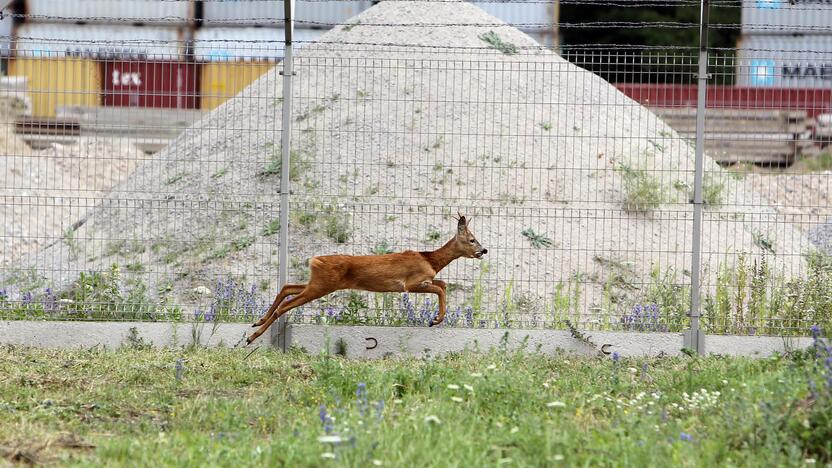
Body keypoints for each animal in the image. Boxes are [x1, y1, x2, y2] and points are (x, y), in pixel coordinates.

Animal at [244, 215, 484, 344]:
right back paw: (252, 337)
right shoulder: (410, 283)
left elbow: (442, 284)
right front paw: (435, 320)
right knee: (286, 304)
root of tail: (315, 260)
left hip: (317, 282)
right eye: (472, 239)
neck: (430, 259)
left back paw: (258, 321)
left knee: (287, 287)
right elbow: (441, 288)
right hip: (322, 285)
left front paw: (435, 318)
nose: (484, 250)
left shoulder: (421, 281)